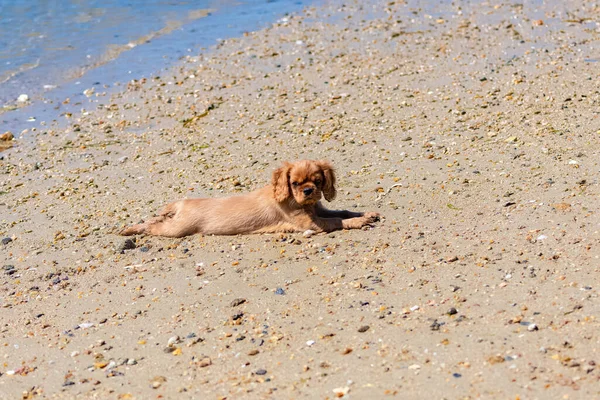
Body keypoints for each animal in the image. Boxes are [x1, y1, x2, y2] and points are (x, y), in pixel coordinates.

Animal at [121, 160, 380, 238]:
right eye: (295, 184)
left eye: (317, 182)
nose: (308, 191)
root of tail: (182, 202)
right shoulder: (311, 223)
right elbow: (337, 221)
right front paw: (360, 222)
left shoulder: (319, 210)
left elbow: (342, 212)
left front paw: (365, 214)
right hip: (176, 228)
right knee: (154, 226)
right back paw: (131, 229)